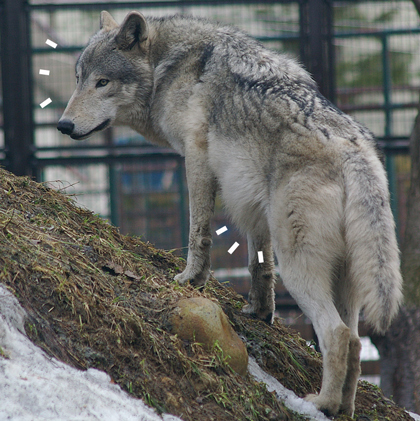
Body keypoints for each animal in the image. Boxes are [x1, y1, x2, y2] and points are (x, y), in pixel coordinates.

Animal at [56, 10, 404, 416]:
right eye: (79, 79)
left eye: (102, 82)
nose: (63, 125)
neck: (167, 67)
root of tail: (355, 152)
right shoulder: (254, 203)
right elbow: (258, 265)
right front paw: (259, 312)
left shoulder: (196, 159)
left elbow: (199, 232)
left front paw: (190, 279)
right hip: (344, 280)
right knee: (356, 342)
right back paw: (344, 409)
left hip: (300, 267)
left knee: (336, 334)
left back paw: (322, 403)